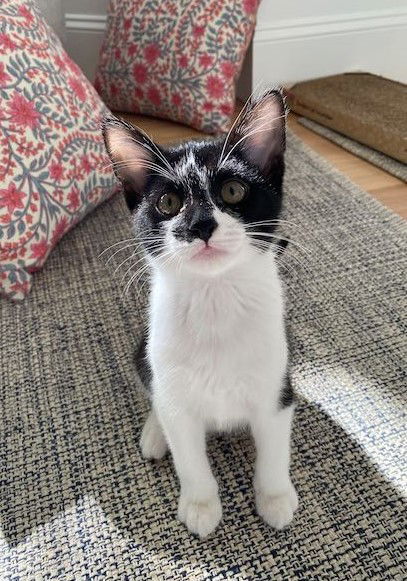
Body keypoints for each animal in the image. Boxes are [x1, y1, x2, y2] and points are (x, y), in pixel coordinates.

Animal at [103, 88, 298, 536]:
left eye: (233, 191)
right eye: (168, 202)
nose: (200, 224)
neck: (216, 298)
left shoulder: (277, 386)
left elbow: (274, 448)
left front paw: (275, 497)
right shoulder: (173, 386)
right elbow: (188, 456)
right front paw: (200, 503)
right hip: (143, 351)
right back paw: (155, 432)